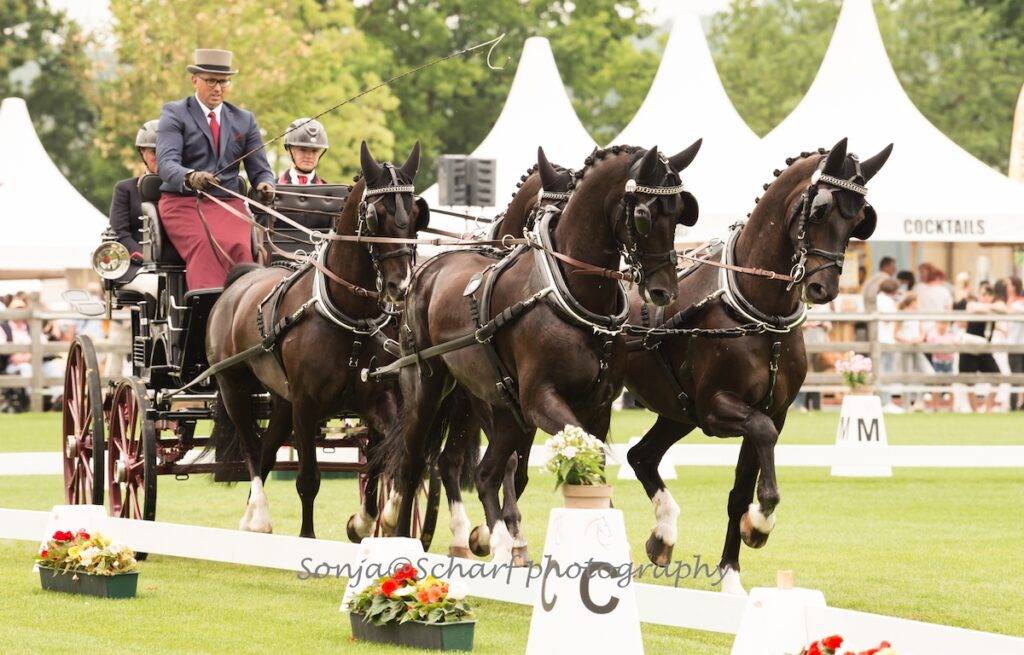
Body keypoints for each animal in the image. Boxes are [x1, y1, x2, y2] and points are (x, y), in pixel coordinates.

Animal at [205, 141, 429, 539]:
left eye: (417, 215)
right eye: (375, 217)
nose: (401, 286)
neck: (350, 316)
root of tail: (240, 280)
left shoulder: (376, 400)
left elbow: (387, 454)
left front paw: (374, 517)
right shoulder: (307, 406)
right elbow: (308, 479)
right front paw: (307, 538)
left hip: (281, 400)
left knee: (266, 449)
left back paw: (250, 517)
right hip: (233, 387)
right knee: (250, 446)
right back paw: (258, 515)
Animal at [378, 142, 702, 563]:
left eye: (681, 211)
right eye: (644, 216)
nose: (664, 291)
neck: (572, 294)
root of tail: (426, 270)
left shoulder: (596, 406)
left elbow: (592, 460)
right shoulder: (541, 401)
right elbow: (577, 456)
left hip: (501, 407)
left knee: (485, 472)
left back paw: (499, 542)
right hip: (427, 387)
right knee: (414, 462)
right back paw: (403, 541)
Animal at [622, 137, 892, 593]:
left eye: (861, 219)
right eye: (819, 209)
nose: (822, 287)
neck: (760, 312)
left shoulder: (769, 410)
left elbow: (739, 491)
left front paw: (732, 571)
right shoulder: (719, 407)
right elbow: (761, 448)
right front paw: (760, 524)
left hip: (677, 412)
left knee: (640, 456)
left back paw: (663, 536)